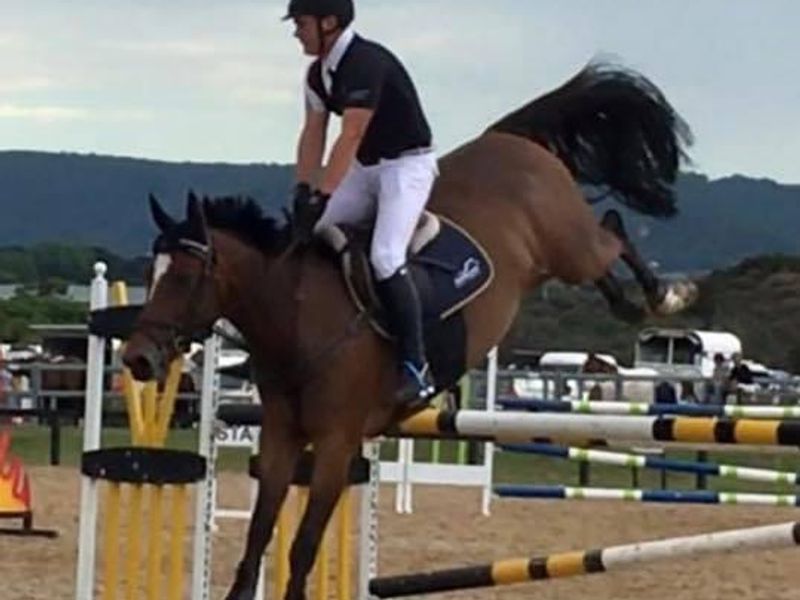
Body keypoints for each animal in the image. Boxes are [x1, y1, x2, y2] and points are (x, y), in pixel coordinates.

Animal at [122, 63, 696, 600]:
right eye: (151, 274)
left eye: (185, 278)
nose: (137, 359)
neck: (299, 318)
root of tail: (508, 140)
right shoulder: (282, 439)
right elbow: (258, 539)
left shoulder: (335, 446)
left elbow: (303, 546)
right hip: (556, 259)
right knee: (607, 246)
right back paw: (629, 302)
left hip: (568, 246)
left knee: (613, 229)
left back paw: (664, 295)